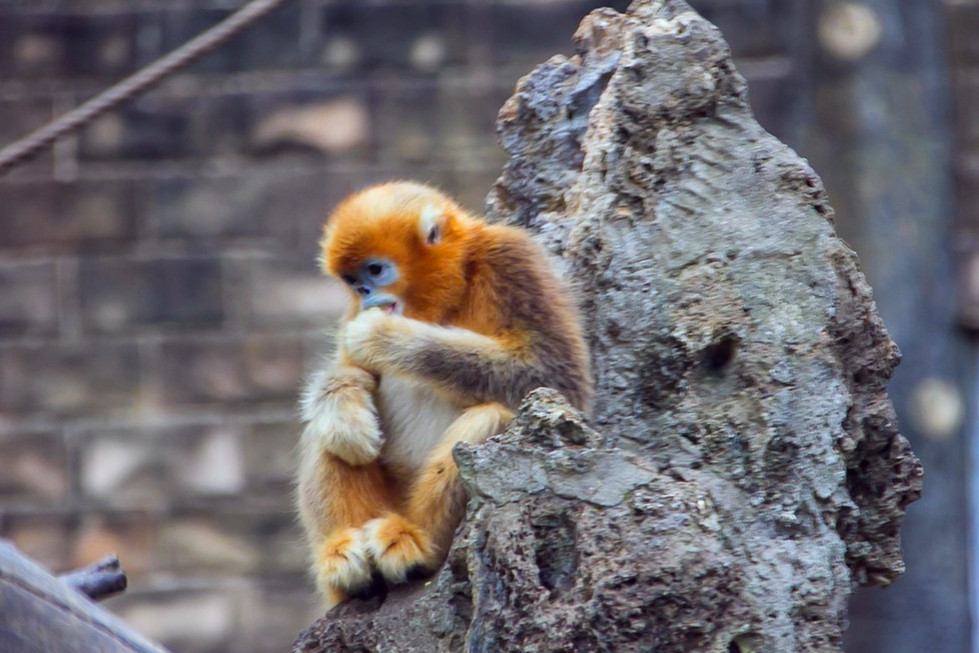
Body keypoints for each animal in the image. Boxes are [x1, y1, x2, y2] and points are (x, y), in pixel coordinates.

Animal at [296, 181, 592, 607]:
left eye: (375, 270)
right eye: (353, 282)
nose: (365, 292)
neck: (451, 290)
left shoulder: (512, 258)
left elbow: (554, 375)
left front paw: (385, 337)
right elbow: (351, 375)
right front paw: (345, 413)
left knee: (493, 416)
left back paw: (416, 545)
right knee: (325, 434)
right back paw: (342, 558)